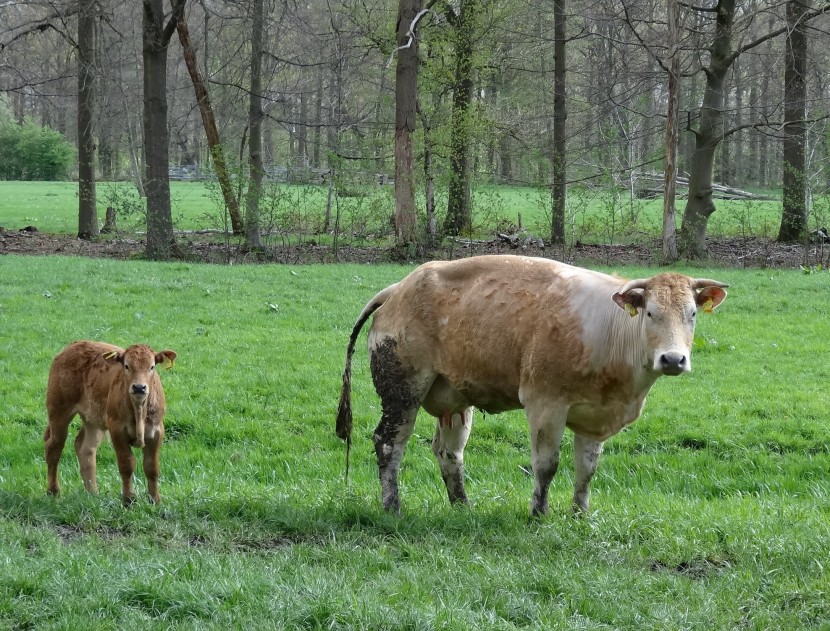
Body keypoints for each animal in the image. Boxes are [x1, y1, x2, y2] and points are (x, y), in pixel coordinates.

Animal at [45, 344, 177, 506]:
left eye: (151, 367)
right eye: (127, 366)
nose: (139, 387)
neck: (139, 410)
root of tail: (74, 345)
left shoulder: (156, 431)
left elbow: (151, 467)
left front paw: (154, 500)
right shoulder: (117, 430)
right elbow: (127, 464)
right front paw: (129, 500)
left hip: (94, 419)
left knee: (85, 448)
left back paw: (92, 493)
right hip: (58, 411)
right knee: (54, 448)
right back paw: (53, 491)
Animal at [338, 254, 728, 516]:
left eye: (692, 314)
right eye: (650, 313)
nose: (673, 359)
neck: (610, 332)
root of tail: (399, 287)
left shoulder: (596, 417)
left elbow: (587, 468)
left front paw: (579, 515)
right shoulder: (545, 404)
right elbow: (546, 464)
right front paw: (538, 514)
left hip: (455, 399)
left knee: (449, 453)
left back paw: (462, 506)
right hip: (402, 391)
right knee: (389, 443)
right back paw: (392, 507)